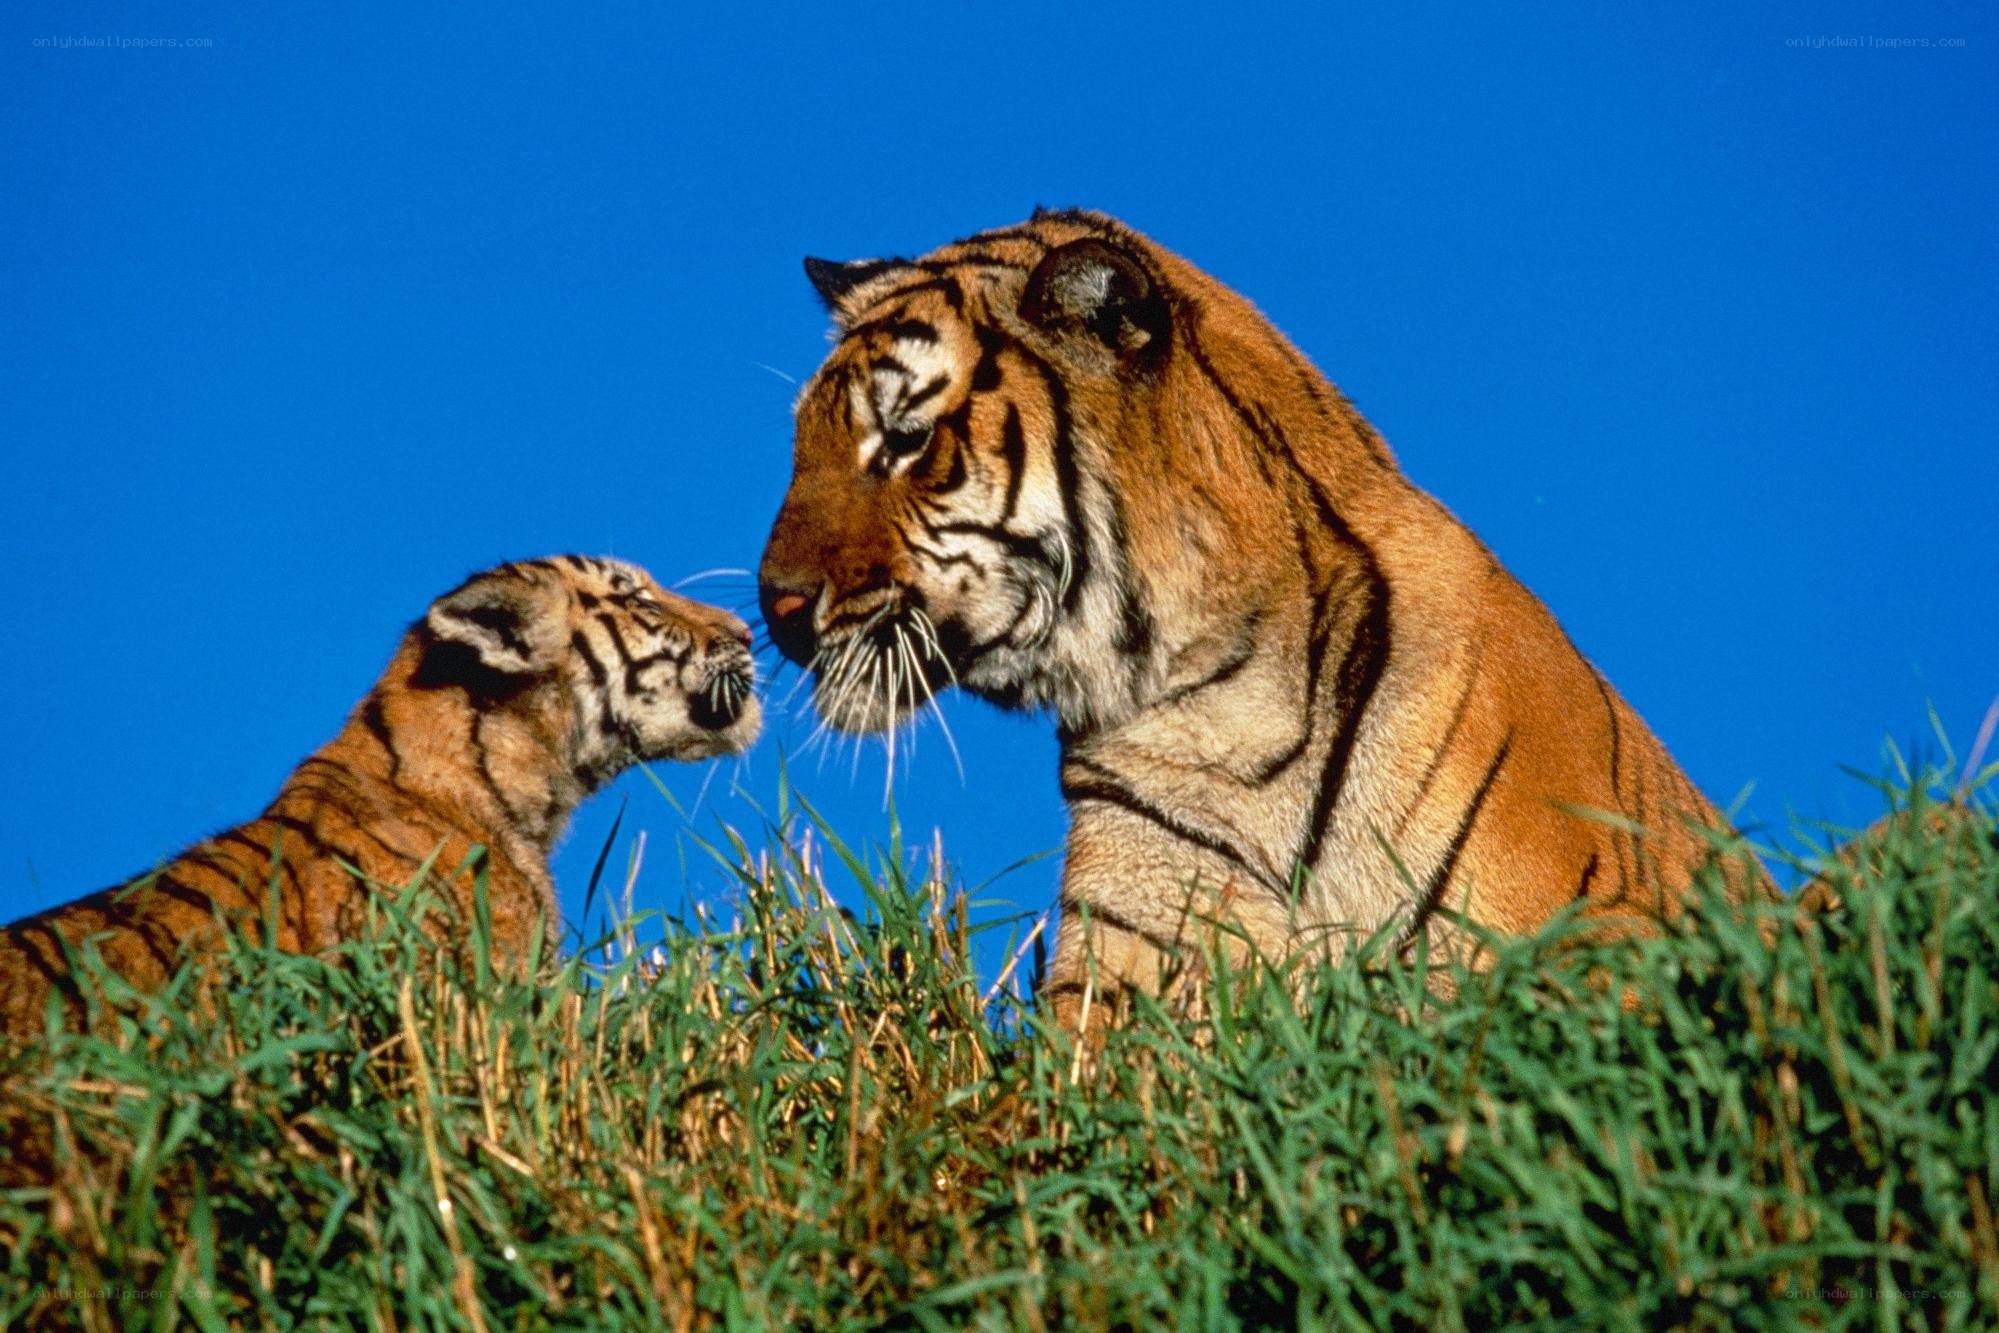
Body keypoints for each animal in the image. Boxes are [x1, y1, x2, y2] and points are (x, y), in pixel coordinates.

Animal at [758, 208, 1762, 1022]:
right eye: (801, 442)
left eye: (906, 439)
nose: (777, 608)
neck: (1219, 706)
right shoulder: (1128, 939)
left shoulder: (1596, 933)